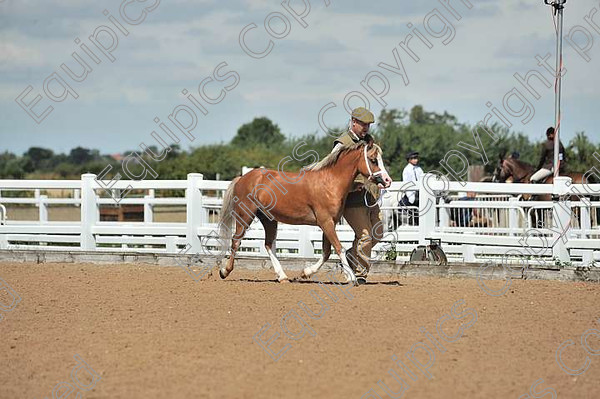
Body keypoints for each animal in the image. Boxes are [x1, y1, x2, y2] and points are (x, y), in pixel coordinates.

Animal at [218, 141, 392, 284]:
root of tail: (242, 178)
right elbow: (339, 248)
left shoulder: (330, 223)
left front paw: (306, 272)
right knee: (236, 241)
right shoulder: (326, 222)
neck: (330, 182)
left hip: (269, 219)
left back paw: (283, 277)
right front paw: (353, 278)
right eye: (373, 160)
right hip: (245, 216)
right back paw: (224, 271)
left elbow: (327, 252)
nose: (387, 180)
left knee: (268, 244)